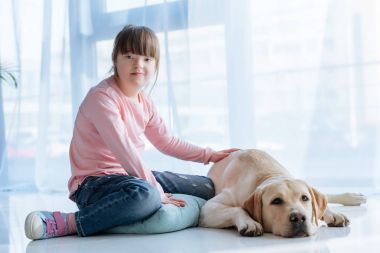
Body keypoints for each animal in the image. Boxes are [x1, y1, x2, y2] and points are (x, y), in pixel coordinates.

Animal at [199, 148, 366, 237]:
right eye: (276, 201)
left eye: (305, 198)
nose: (299, 218)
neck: (270, 174)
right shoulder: (207, 209)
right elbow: (238, 209)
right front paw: (249, 222)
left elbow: (320, 203)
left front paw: (331, 214)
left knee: (324, 196)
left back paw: (350, 199)